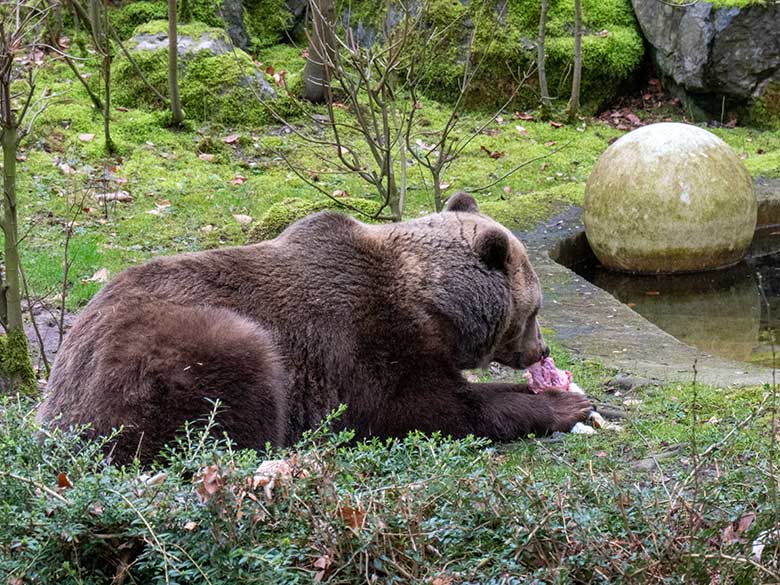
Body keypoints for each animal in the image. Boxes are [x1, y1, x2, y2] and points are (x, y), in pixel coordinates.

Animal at [35, 193, 584, 460]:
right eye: (534, 311)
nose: (541, 351)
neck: (432, 305)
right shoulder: (363, 337)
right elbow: (423, 408)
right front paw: (565, 405)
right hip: (169, 351)